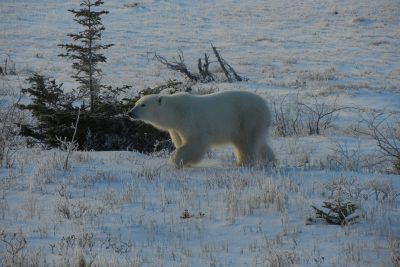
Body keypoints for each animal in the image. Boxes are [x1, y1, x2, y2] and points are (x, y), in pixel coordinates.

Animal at [128, 91, 276, 169]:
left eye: (143, 105)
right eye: (136, 103)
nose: (130, 113)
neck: (176, 111)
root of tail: (266, 107)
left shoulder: (190, 120)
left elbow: (196, 142)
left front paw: (176, 159)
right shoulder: (176, 129)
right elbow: (180, 142)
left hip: (247, 118)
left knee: (246, 143)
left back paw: (242, 163)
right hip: (255, 123)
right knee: (260, 143)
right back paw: (271, 162)